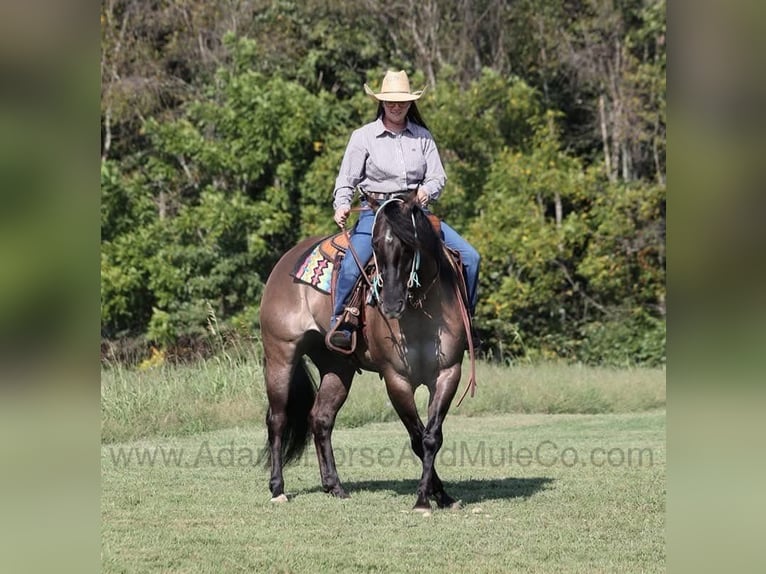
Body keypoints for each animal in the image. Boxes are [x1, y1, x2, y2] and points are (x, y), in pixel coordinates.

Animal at [259, 191, 473, 510]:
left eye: (410, 243)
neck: (420, 310)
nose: (391, 304)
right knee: (278, 419)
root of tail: (284, 264)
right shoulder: (397, 379)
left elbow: (431, 437)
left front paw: (441, 496)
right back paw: (277, 488)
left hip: (337, 367)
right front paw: (424, 498)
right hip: (280, 357)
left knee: (320, 418)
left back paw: (334, 486)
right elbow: (416, 437)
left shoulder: (448, 374)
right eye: (374, 246)